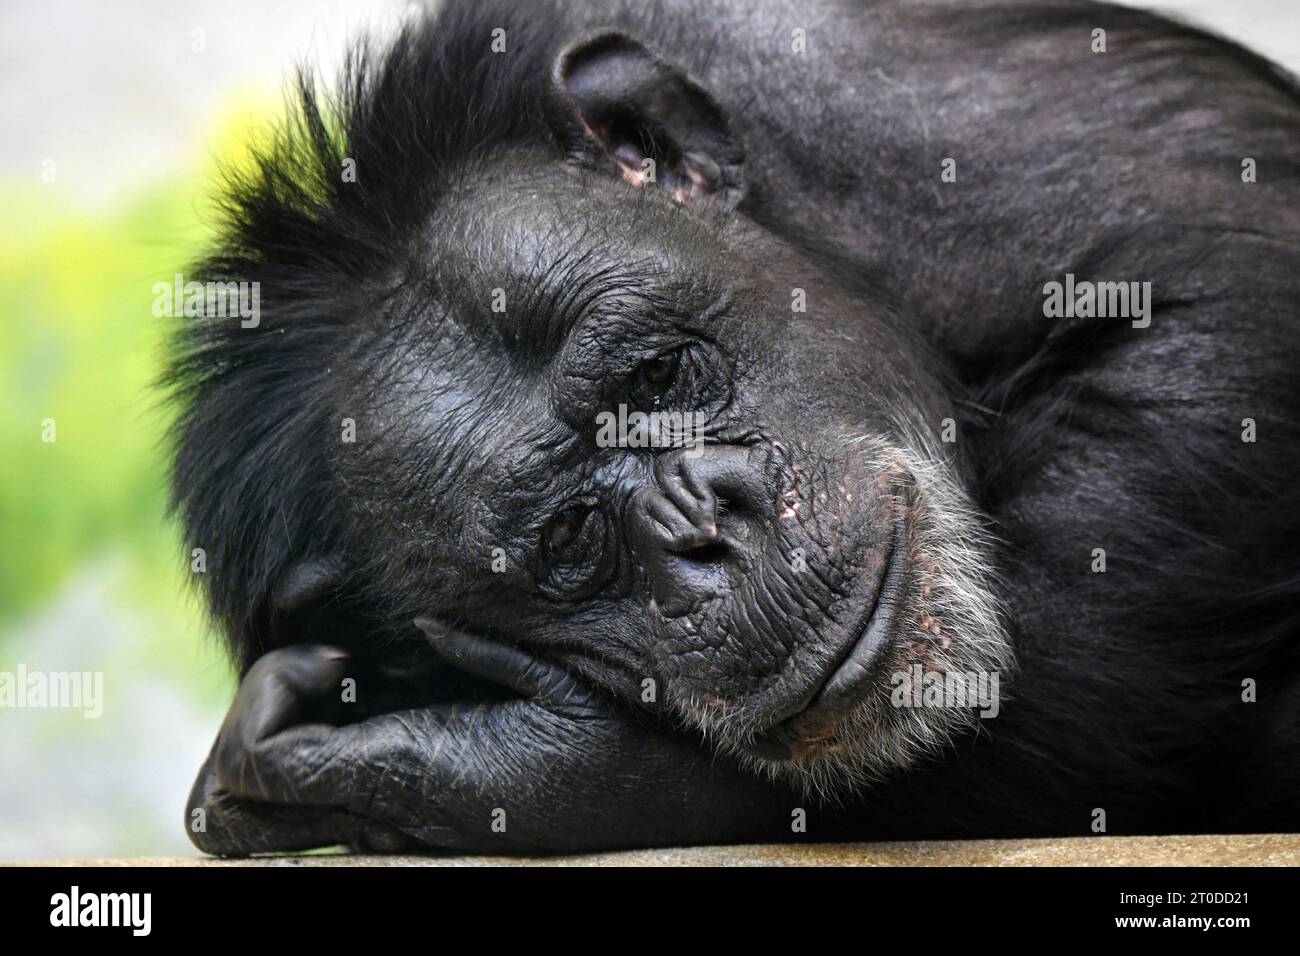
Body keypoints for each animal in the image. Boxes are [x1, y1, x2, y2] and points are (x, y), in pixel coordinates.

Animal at [172, 0, 1300, 853]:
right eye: (568, 542)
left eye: (658, 373)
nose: (702, 530)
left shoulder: (891, 111)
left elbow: (1222, 307)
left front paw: (535, 770)